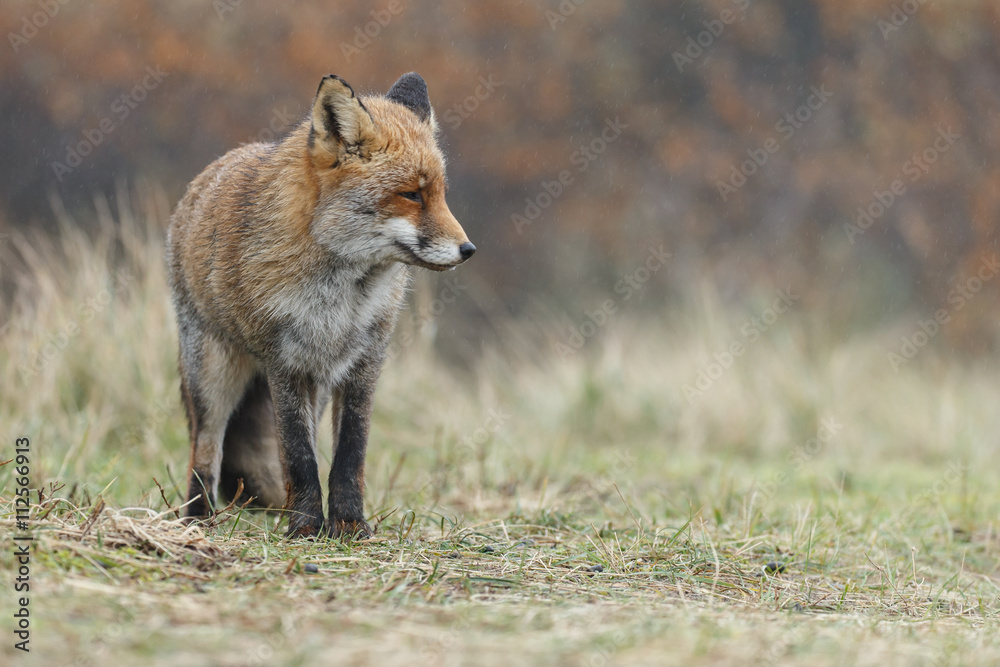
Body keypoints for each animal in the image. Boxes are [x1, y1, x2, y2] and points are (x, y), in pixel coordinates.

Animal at [166, 73, 474, 540]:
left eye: (439, 195)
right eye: (411, 195)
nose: (468, 249)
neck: (341, 302)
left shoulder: (362, 363)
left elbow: (349, 454)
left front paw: (348, 523)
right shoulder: (285, 363)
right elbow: (299, 454)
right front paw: (307, 526)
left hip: (316, 387)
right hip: (213, 375)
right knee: (205, 450)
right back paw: (197, 519)